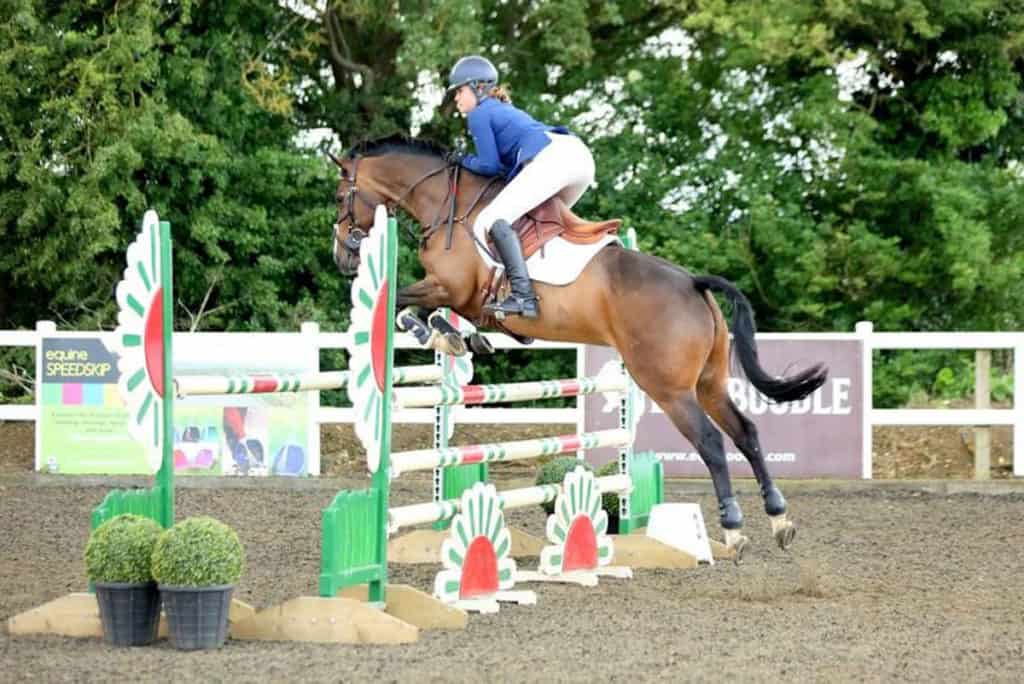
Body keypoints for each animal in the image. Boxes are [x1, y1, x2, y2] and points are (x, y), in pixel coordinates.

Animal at [331, 135, 827, 561]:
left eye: (340, 198)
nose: (343, 258)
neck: (446, 205)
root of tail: (692, 282)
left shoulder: (450, 287)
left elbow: (404, 304)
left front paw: (432, 331)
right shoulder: (466, 299)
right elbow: (453, 318)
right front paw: (459, 337)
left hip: (668, 387)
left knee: (710, 441)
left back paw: (733, 528)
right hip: (709, 382)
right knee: (746, 432)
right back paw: (779, 521)